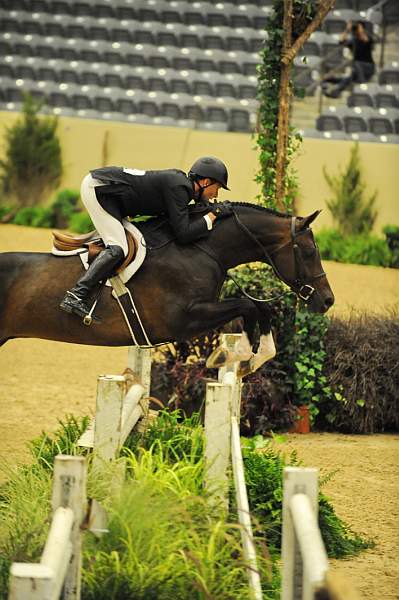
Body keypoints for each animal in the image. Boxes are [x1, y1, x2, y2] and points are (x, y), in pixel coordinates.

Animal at [0, 205, 334, 376]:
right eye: (308, 253)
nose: (327, 300)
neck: (201, 248)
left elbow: (259, 307)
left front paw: (253, 357)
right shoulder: (184, 320)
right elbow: (248, 306)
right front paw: (232, 356)